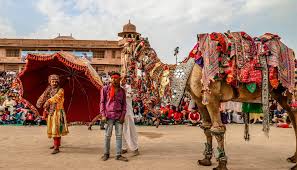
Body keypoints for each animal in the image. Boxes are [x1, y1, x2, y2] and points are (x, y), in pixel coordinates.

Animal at [118, 32, 296, 170]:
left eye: (125, 50)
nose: (123, 76)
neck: (188, 71)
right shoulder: (199, 99)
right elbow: (206, 128)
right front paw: (206, 159)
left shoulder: (211, 97)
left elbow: (218, 129)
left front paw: (222, 164)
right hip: (281, 93)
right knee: (294, 119)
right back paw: (293, 159)